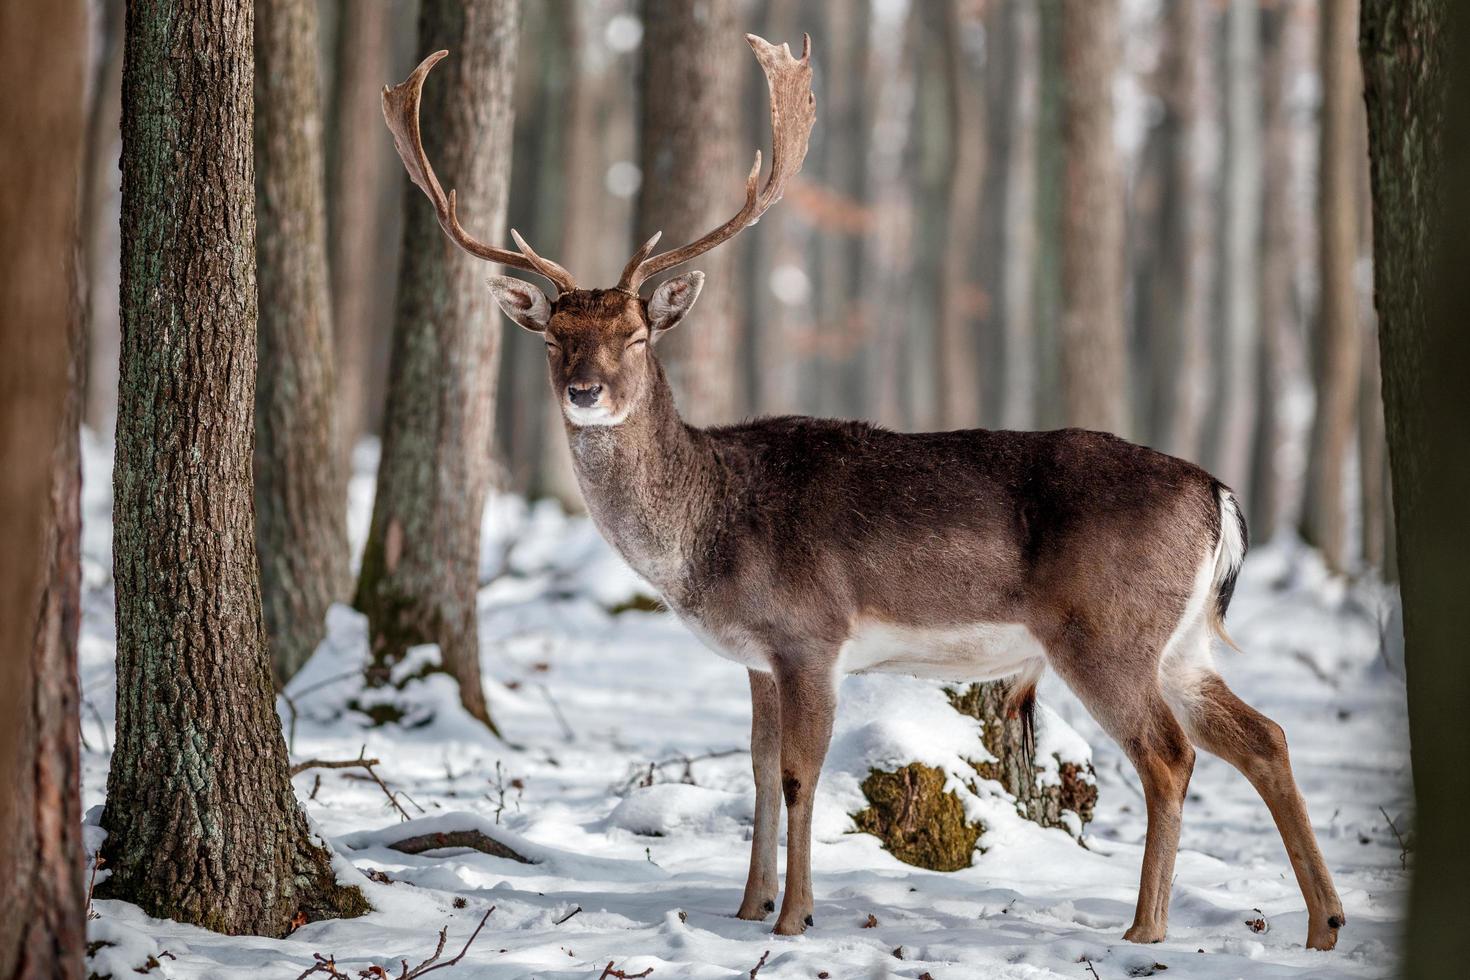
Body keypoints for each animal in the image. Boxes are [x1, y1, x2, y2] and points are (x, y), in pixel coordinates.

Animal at [382, 32, 1346, 952]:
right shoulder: (759, 656)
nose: (585, 391)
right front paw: (747, 904)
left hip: (1107, 628)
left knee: (1171, 756)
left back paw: (1147, 926)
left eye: (636, 335)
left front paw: (794, 917)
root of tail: (1220, 495)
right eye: (555, 337)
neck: (706, 534)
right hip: (1180, 640)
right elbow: (758, 771)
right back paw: (1323, 921)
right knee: (1265, 736)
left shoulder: (811, 632)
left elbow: (801, 774)